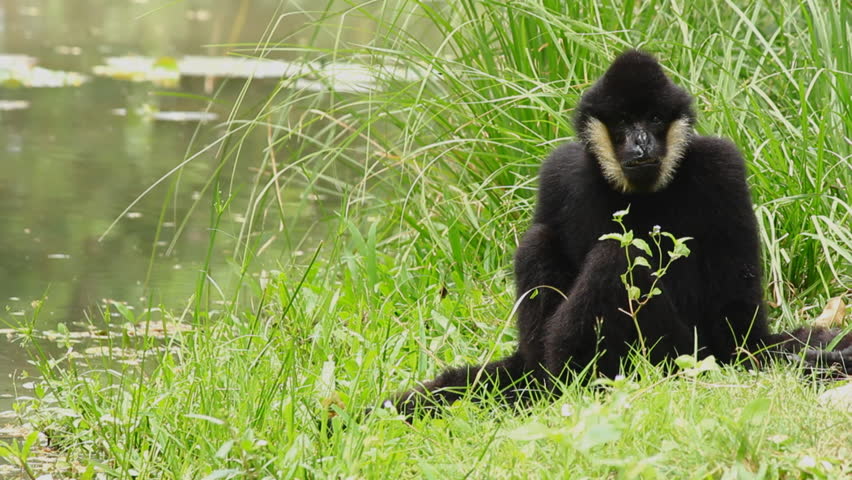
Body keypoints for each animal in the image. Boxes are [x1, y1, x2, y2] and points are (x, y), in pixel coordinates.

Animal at [388, 50, 851, 418]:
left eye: (654, 119)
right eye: (626, 121)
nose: (641, 142)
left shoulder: (723, 167)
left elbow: (739, 324)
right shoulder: (558, 169)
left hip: (682, 351)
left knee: (617, 256)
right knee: (541, 241)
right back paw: (550, 379)